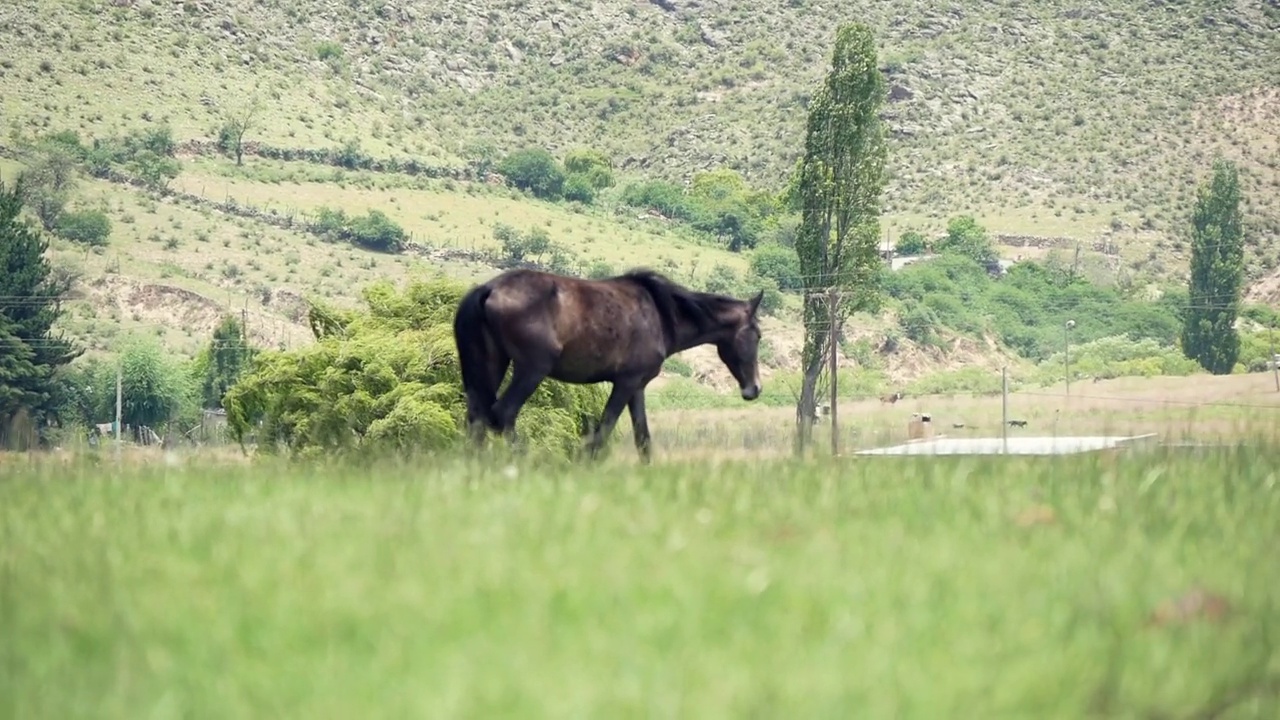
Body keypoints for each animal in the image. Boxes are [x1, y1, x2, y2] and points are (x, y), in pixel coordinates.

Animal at [455, 267, 762, 458]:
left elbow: (643, 439)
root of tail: (489, 289)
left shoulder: (637, 387)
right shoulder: (625, 383)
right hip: (531, 370)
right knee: (503, 413)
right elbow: (603, 432)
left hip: (492, 364)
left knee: (477, 418)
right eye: (758, 335)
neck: (661, 315)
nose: (755, 389)